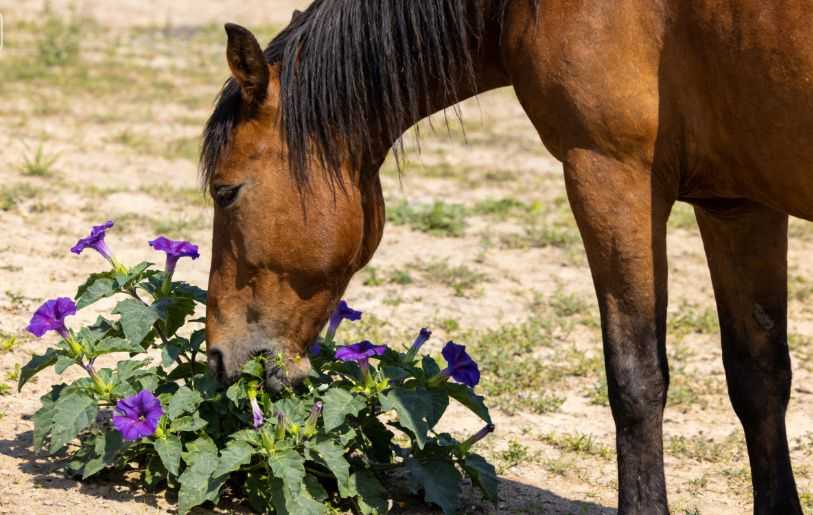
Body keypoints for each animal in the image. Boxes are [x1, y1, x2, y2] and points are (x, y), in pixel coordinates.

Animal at [200, 1, 810, 513]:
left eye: (226, 192)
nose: (220, 357)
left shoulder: (612, 177)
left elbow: (635, 378)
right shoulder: (738, 204)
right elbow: (759, 378)